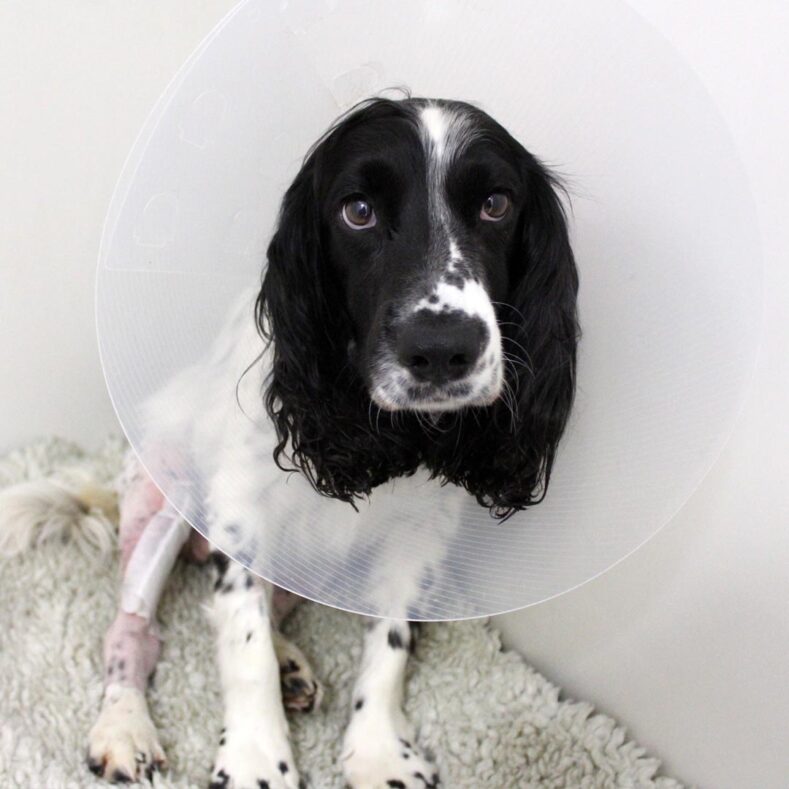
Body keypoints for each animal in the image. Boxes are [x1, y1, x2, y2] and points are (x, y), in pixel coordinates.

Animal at [1, 95, 580, 784]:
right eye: (358, 211)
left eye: (496, 204)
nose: (443, 350)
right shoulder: (239, 509)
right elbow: (241, 638)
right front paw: (256, 757)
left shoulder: (422, 536)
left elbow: (390, 642)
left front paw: (379, 751)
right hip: (160, 502)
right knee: (132, 631)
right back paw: (124, 726)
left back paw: (292, 666)